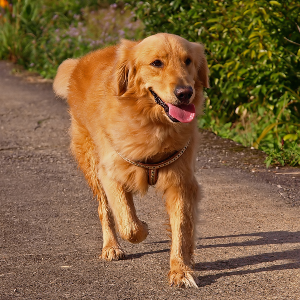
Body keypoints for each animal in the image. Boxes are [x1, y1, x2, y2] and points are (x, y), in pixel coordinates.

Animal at [53, 33, 209, 288]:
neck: (152, 124)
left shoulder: (181, 182)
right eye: (157, 63)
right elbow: (129, 226)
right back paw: (111, 247)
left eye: (187, 61)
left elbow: (182, 228)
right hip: (92, 165)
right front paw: (143, 227)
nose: (185, 93)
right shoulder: (110, 174)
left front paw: (181, 270)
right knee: (105, 210)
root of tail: (80, 62)